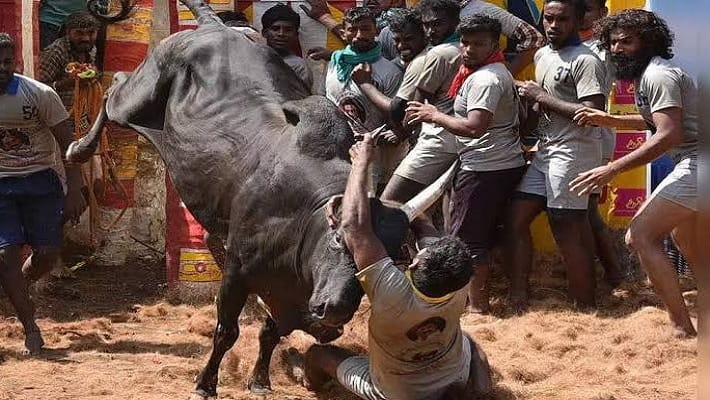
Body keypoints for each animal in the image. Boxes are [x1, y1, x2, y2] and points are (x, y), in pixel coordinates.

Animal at [67, 0, 414, 396]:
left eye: (387, 260)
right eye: (339, 241)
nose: (336, 311)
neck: (304, 217)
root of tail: (213, 26)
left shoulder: (288, 294)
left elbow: (270, 332)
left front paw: (260, 379)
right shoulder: (238, 272)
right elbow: (226, 331)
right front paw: (205, 383)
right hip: (139, 97)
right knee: (114, 89)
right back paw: (78, 148)